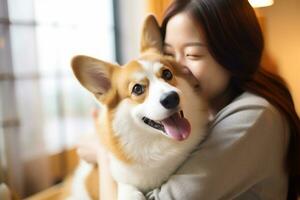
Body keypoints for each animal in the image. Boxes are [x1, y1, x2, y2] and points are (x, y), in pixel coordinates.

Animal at [69, 14, 207, 199]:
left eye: (167, 74)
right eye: (137, 89)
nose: (171, 98)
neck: (156, 145)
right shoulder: (119, 175)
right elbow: (126, 187)